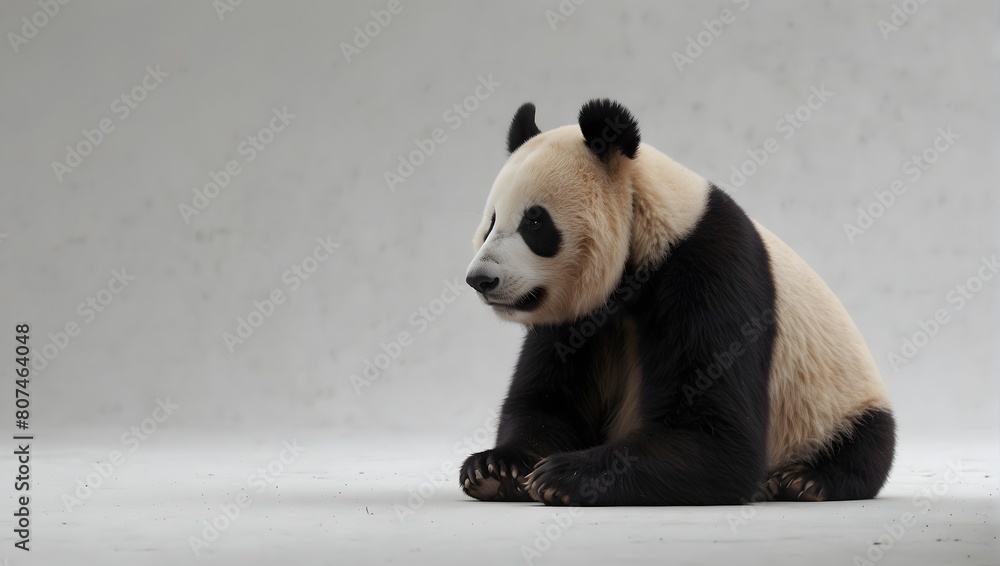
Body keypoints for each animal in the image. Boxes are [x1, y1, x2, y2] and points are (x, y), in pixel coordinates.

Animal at [459, 99, 895, 506]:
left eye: (535, 222)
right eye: (492, 221)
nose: (481, 279)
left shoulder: (711, 270)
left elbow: (717, 436)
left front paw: (564, 475)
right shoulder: (581, 315)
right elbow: (549, 400)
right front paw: (495, 467)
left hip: (836, 400)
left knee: (865, 442)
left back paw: (804, 481)